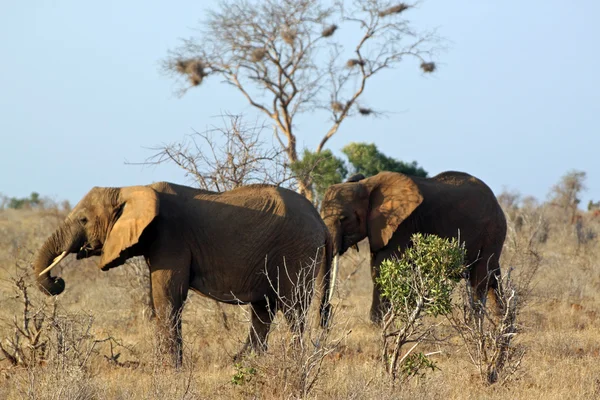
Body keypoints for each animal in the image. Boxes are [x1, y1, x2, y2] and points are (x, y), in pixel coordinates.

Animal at [32, 181, 336, 366]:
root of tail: (320, 221)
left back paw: (293, 362)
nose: (57, 281)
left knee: (293, 307)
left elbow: (167, 296)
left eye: (83, 219)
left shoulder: (170, 238)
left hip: (296, 250)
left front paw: (168, 369)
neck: (129, 189)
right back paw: (243, 362)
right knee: (263, 309)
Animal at [324, 170, 506, 324]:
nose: (328, 310)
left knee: (480, 279)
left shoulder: (402, 224)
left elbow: (383, 265)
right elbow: (375, 267)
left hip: (492, 232)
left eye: (343, 218)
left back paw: (477, 325)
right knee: (493, 279)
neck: (367, 185)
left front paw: (376, 325)